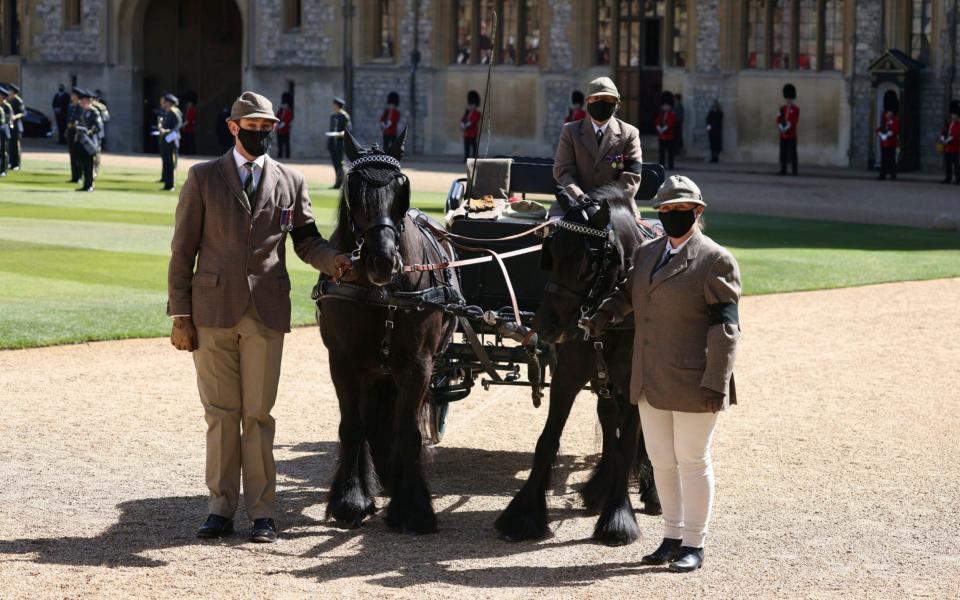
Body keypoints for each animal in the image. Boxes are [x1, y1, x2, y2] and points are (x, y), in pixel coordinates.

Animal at [316, 131, 460, 536]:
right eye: (354, 187)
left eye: (402, 187)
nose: (381, 261)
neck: (381, 294)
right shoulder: (344, 363)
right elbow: (352, 426)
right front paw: (351, 500)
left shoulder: (418, 365)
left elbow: (408, 431)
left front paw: (413, 509)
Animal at [496, 185, 660, 548]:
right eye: (551, 254)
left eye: (585, 260)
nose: (545, 326)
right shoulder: (568, 376)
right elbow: (547, 441)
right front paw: (523, 515)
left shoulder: (633, 383)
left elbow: (629, 443)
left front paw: (618, 518)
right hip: (602, 383)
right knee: (609, 420)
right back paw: (600, 487)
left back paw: (650, 491)